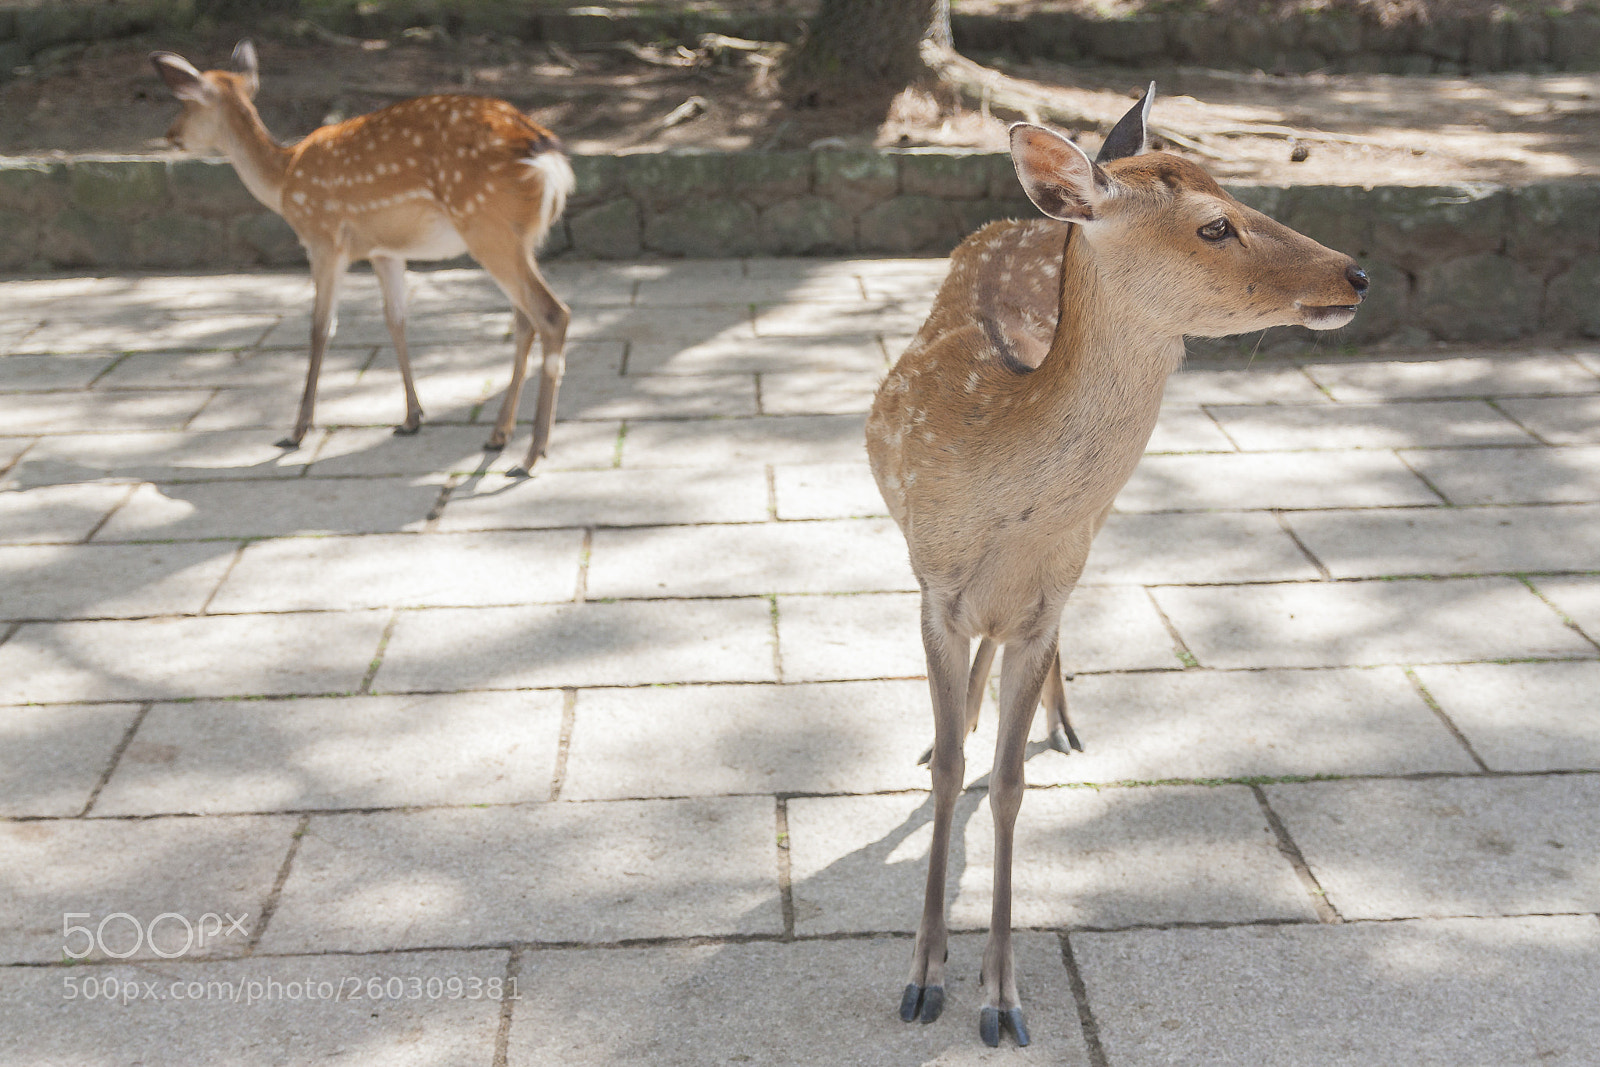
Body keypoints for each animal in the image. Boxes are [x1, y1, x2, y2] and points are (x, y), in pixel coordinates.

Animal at [150, 41, 574, 476]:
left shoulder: (324, 239)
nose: (170, 135)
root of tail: (546, 156)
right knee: (524, 319)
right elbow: (396, 320)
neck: (284, 179)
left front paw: (297, 430)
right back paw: (498, 435)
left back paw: (531, 454)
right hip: (520, 237)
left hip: (486, 225)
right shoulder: (383, 250)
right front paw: (412, 418)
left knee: (551, 313)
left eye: (186, 103)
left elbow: (320, 328)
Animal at [865, 86, 1367, 1048]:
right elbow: (951, 772)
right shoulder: (932, 588)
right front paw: (921, 978)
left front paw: (1000, 997)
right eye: (1214, 224)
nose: (1357, 273)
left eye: (1233, 190)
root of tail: (1026, 219)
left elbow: (1010, 782)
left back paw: (1059, 719)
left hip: (1090, 542)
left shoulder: (1047, 592)